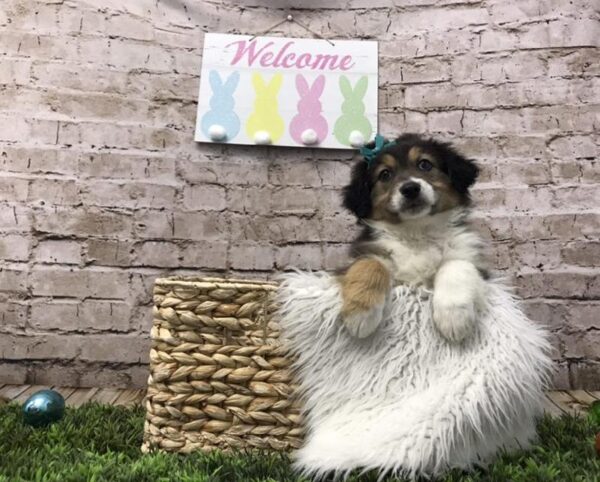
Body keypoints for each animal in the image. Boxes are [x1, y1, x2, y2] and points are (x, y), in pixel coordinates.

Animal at [338, 134, 488, 340]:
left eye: (424, 164)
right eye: (385, 174)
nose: (410, 189)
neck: (417, 231)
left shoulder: (474, 261)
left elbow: (456, 264)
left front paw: (454, 318)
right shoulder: (364, 255)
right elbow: (369, 264)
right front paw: (360, 314)